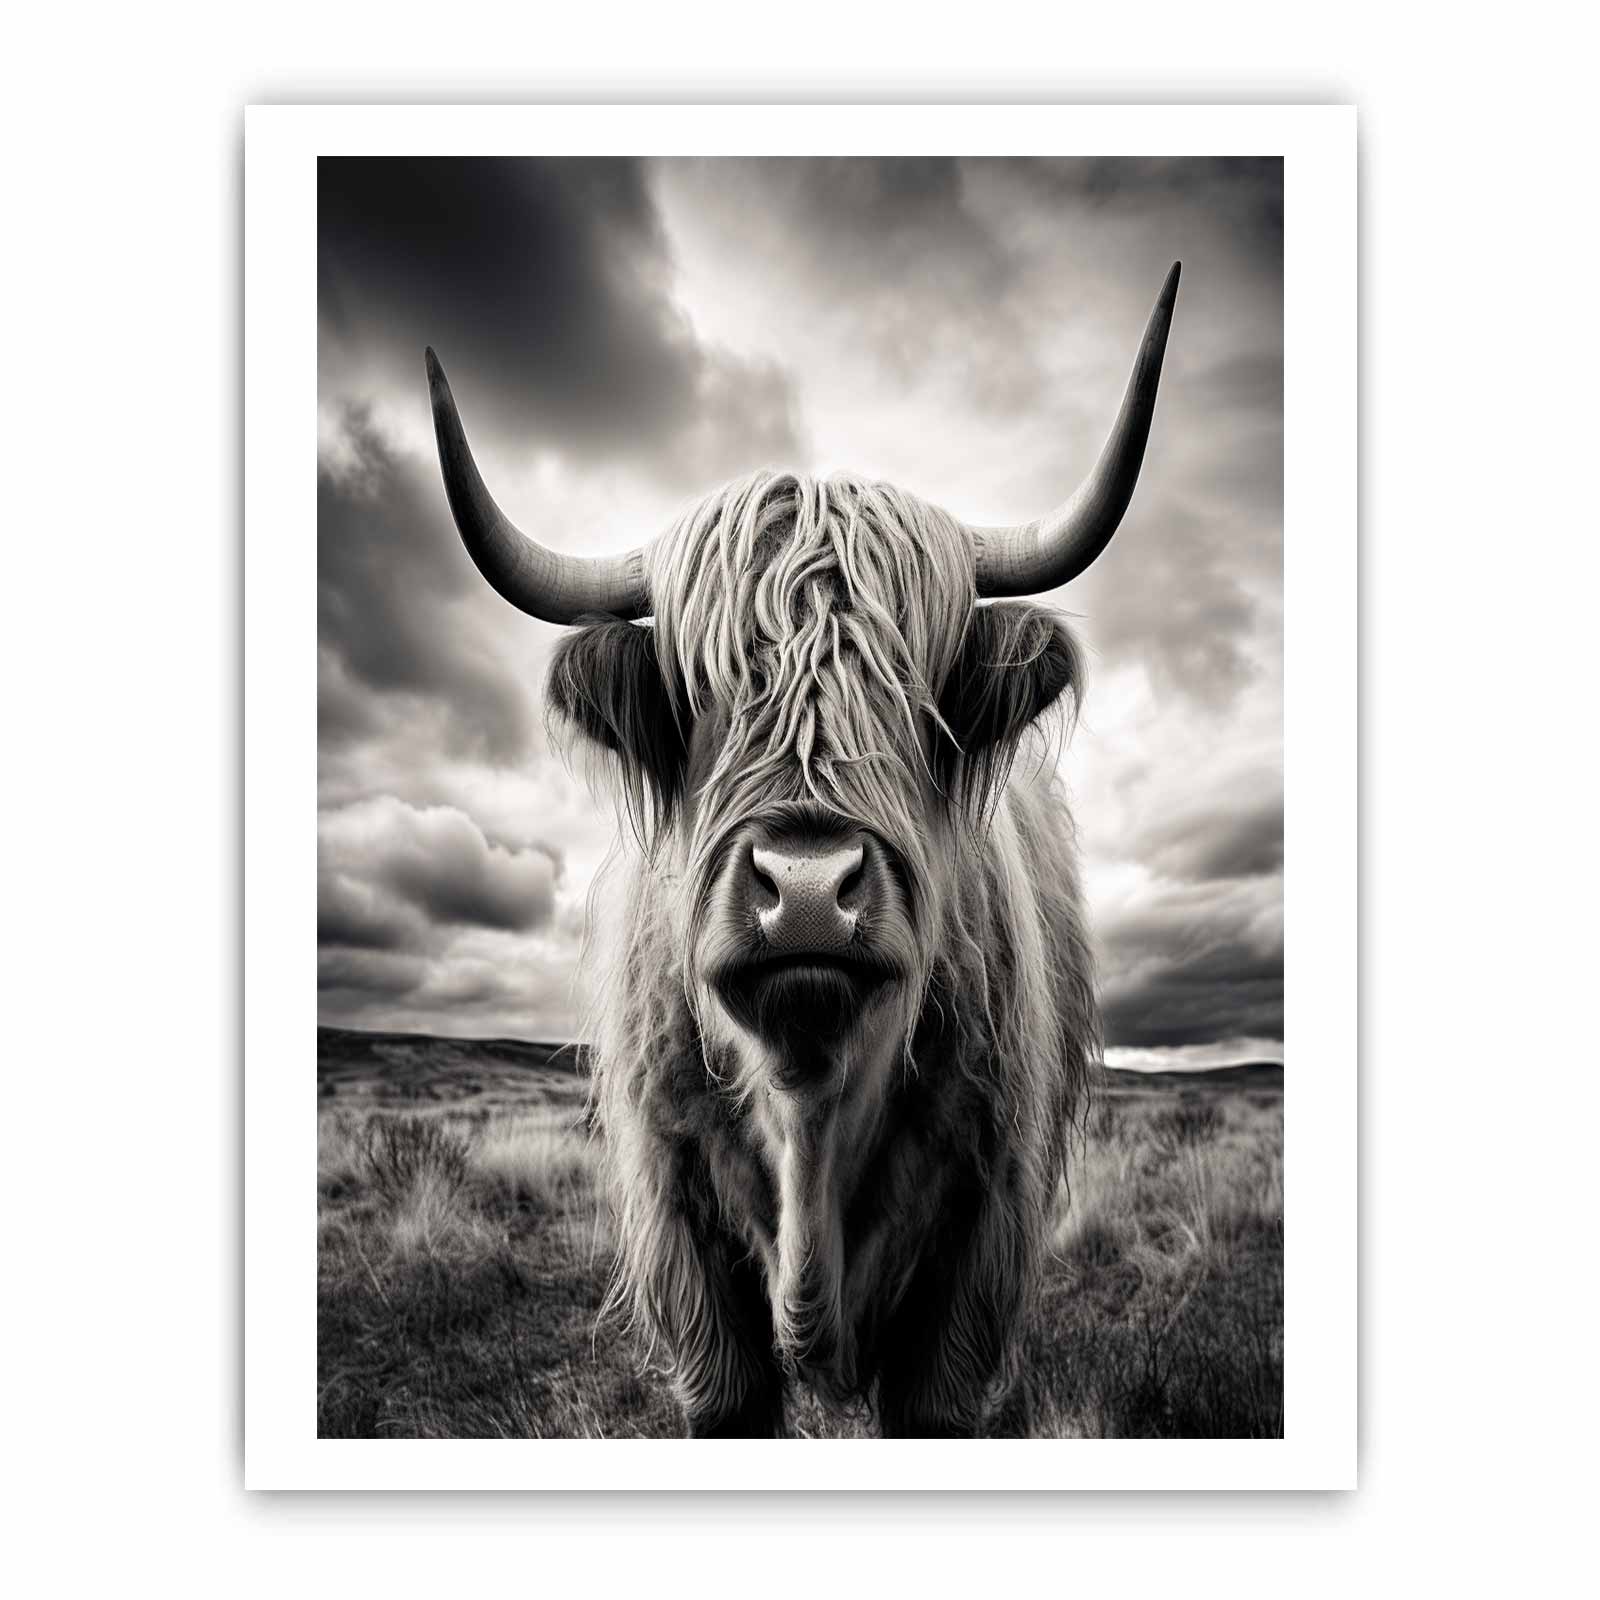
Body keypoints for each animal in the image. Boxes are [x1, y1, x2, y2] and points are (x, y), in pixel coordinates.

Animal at [425, 262, 1180, 1437]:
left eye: (913, 700)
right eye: (703, 696)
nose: (811, 890)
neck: (811, 1108)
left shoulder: (970, 1264)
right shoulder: (690, 1265)